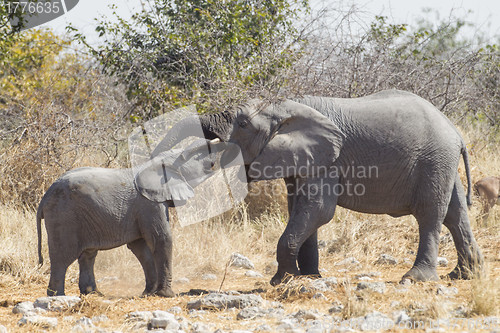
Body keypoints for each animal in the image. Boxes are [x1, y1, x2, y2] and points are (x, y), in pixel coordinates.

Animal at [38, 137, 226, 296]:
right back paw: (58, 297)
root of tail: (45, 196)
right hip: (63, 215)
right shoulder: (149, 204)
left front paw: (148, 293)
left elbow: (139, 247)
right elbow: (162, 239)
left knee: (88, 255)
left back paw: (94, 294)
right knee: (62, 257)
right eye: (195, 157)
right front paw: (167, 294)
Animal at [154, 89, 482, 284]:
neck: (288, 105)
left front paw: (282, 281)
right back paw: (465, 274)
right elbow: (300, 209)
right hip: (442, 161)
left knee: (430, 213)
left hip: (434, 158)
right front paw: (309, 277)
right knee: (455, 213)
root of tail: (455, 132)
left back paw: (416, 279)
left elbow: (318, 210)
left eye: (243, 124)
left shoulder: (327, 160)